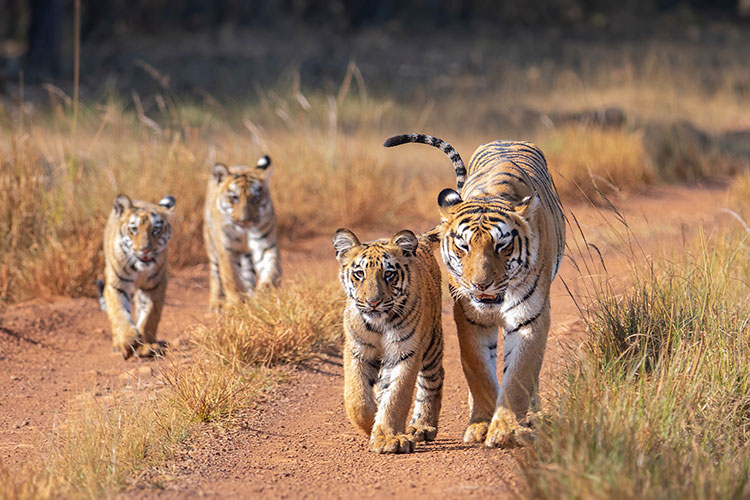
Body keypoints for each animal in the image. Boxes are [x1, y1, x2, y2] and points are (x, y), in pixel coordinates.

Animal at [96, 192, 177, 360]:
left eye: (156, 229)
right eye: (133, 229)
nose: (144, 249)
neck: (139, 268)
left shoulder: (156, 285)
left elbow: (150, 316)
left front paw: (147, 345)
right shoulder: (116, 286)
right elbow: (120, 313)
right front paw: (129, 342)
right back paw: (117, 344)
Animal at [204, 154, 284, 310]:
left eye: (256, 198)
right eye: (234, 198)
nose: (245, 220)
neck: (244, 233)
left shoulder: (265, 246)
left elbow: (270, 272)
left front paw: (261, 297)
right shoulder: (227, 250)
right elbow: (231, 278)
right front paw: (235, 303)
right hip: (212, 247)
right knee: (215, 275)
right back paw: (216, 303)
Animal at [334, 229, 446, 456]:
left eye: (389, 274)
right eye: (359, 274)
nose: (373, 302)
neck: (379, 325)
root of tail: (420, 239)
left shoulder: (405, 353)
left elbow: (396, 397)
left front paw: (388, 437)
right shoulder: (357, 351)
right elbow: (357, 398)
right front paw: (372, 425)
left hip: (432, 345)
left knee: (433, 381)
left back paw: (422, 427)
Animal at [384, 134, 568, 450]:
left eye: (502, 246)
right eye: (463, 246)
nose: (481, 285)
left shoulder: (530, 318)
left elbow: (519, 375)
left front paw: (506, 429)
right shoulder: (470, 317)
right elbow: (478, 371)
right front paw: (482, 424)